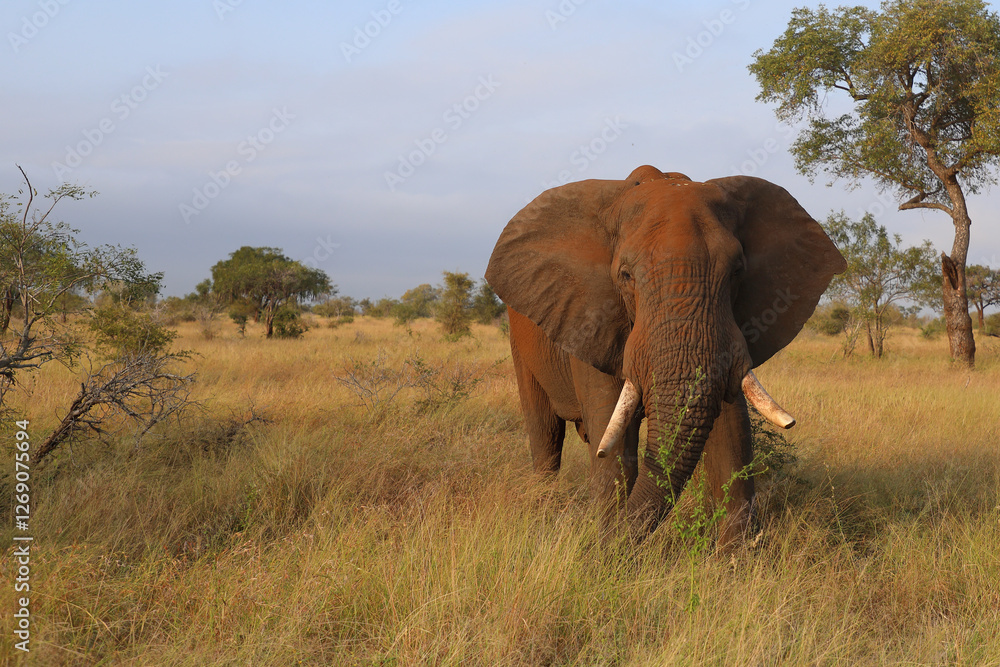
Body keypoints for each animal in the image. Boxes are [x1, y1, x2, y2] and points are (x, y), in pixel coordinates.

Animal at [485, 165, 845, 545]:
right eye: (626, 276)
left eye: (736, 271)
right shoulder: (592, 315)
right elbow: (613, 442)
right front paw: (610, 550)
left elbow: (732, 435)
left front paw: (736, 555)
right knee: (545, 434)